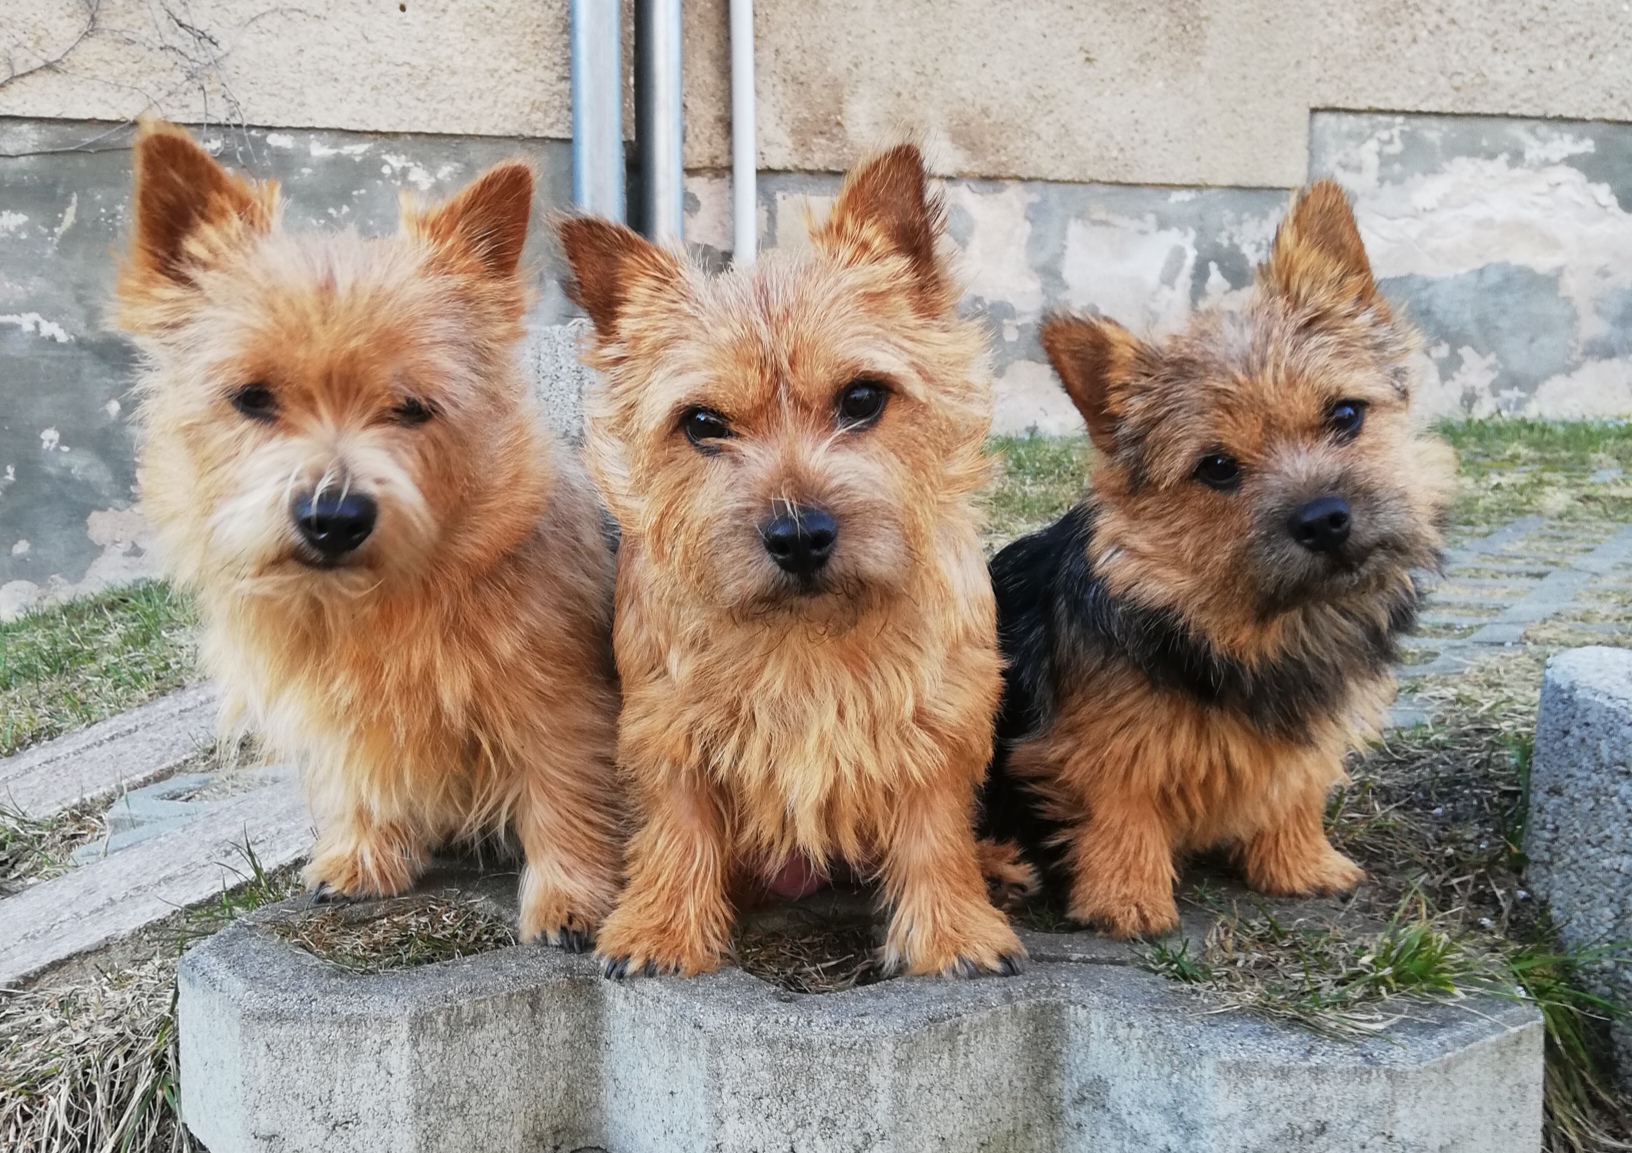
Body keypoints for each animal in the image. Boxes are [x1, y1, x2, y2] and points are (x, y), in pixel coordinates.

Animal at [116, 120, 623, 947]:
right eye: (251, 397)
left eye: (412, 407)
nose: (333, 515)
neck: (378, 601)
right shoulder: (339, 711)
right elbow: (361, 773)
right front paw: (364, 854)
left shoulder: (561, 698)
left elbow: (566, 791)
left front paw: (570, 899)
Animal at [558, 141, 1018, 966]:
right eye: (703, 423)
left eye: (862, 398)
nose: (799, 535)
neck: (805, 635)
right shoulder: (667, 722)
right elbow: (677, 824)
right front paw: (660, 927)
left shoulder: (940, 711)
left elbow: (935, 826)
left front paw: (953, 929)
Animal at [979, 177, 1455, 934]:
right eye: (1219, 467)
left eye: (1345, 415)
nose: (1325, 519)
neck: (1261, 626)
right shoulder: (1102, 741)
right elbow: (1121, 804)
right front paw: (1128, 897)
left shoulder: (1309, 732)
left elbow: (1296, 783)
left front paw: (1300, 863)